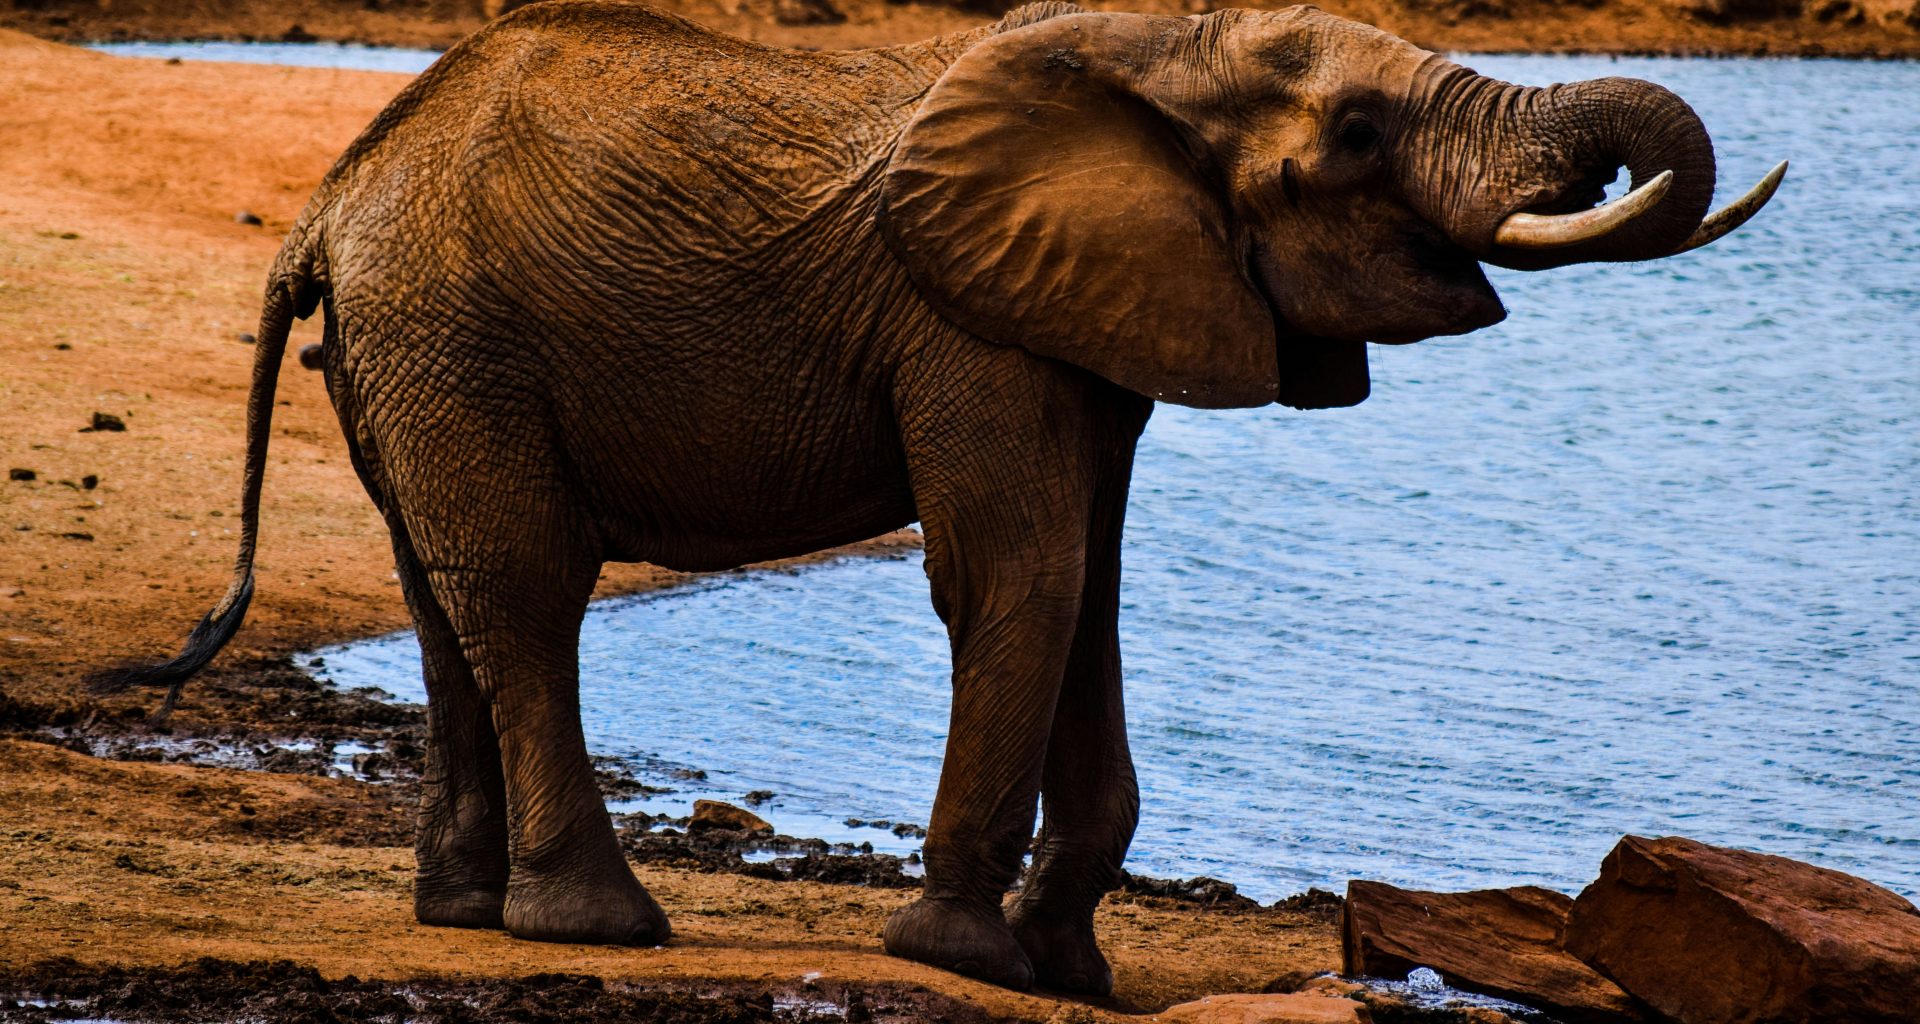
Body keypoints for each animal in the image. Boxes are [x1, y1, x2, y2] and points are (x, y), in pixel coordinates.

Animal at [96, 0, 1782, 995]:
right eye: (1358, 138)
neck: (1158, 45)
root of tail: (324, 205)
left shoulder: (1092, 309)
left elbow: (1093, 580)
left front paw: (1066, 969)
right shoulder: (965, 319)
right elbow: (1019, 574)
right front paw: (970, 956)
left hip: (410, 354)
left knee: (438, 595)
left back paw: (461, 912)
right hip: (457, 335)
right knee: (524, 588)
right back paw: (597, 924)